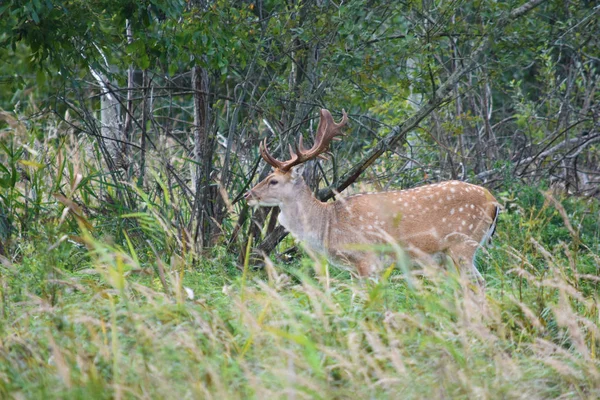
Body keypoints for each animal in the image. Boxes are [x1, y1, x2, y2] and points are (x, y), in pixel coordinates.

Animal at [245, 108, 502, 284]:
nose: (248, 195)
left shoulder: (366, 258)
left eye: (273, 180)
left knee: (478, 284)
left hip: (462, 244)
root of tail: (494, 201)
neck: (327, 226)